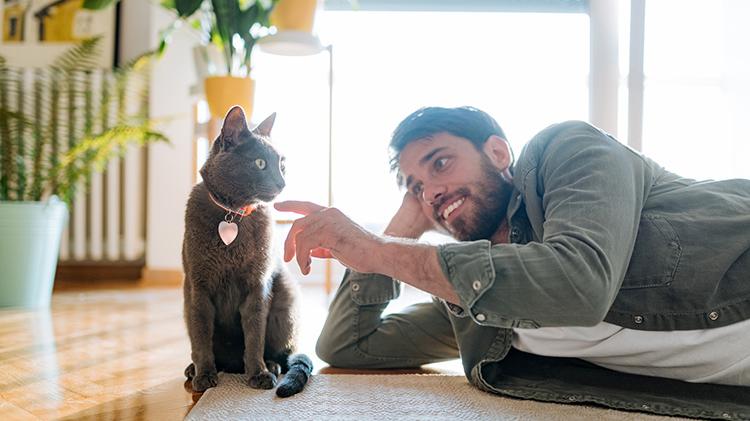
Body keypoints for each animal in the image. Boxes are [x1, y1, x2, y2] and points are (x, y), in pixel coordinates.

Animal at [184, 106, 312, 398]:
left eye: (282, 165)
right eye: (260, 163)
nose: (282, 182)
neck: (233, 214)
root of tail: (232, 365)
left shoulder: (257, 286)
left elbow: (254, 335)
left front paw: (258, 373)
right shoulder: (198, 287)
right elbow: (201, 336)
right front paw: (204, 375)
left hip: (286, 296)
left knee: (282, 354)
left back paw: (271, 365)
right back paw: (193, 369)